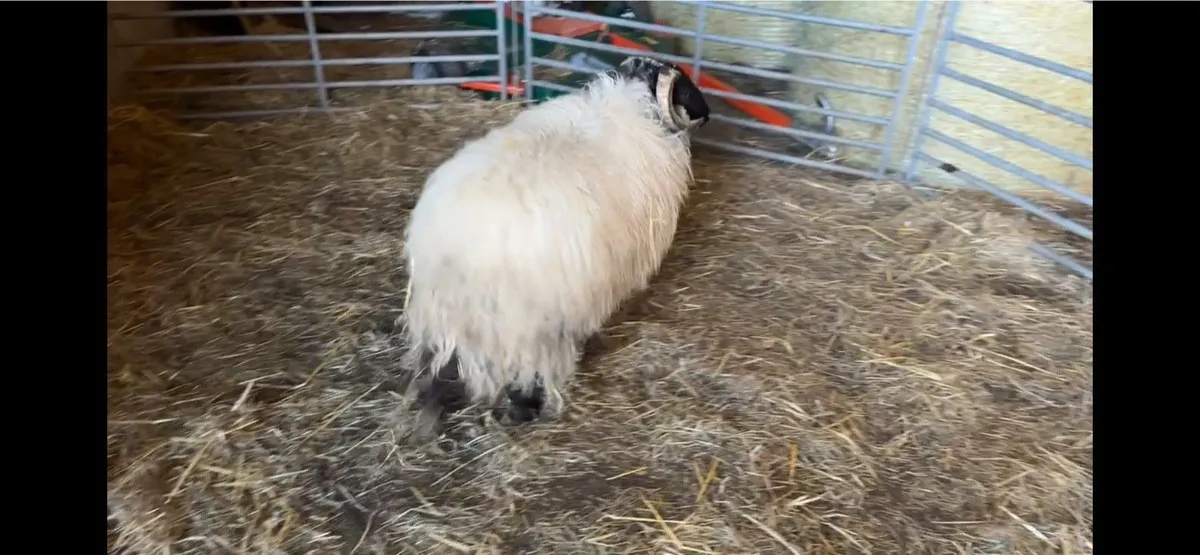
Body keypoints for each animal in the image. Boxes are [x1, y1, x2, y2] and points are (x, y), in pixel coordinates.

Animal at [401, 56, 712, 435]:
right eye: (686, 90)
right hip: (531, 330)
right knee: (526, 376)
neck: (629, 106)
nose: (707, 113)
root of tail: (457, 255)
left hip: (442, 320)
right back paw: (529, 409)